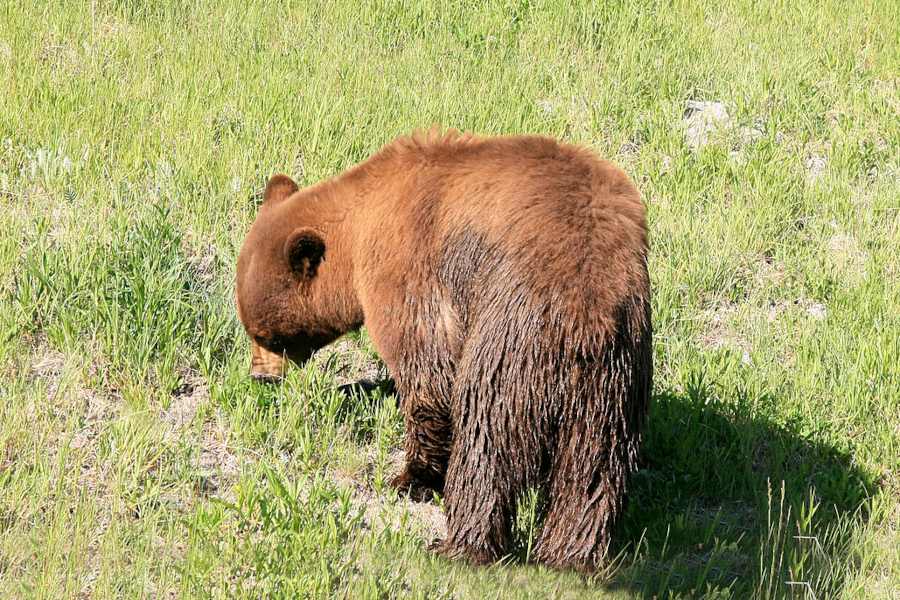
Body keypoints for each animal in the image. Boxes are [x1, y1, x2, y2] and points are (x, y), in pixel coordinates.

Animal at [235, 130, 652, 572]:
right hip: (614, 381)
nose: (260, 376)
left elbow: (427, 372)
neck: (360, 224)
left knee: (485, 441)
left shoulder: (407, 265)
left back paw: (460, 544)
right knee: (592, 473)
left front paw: (412, 478)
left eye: (267, 336)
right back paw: (570, 557)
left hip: (510, 343)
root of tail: (588, 314)